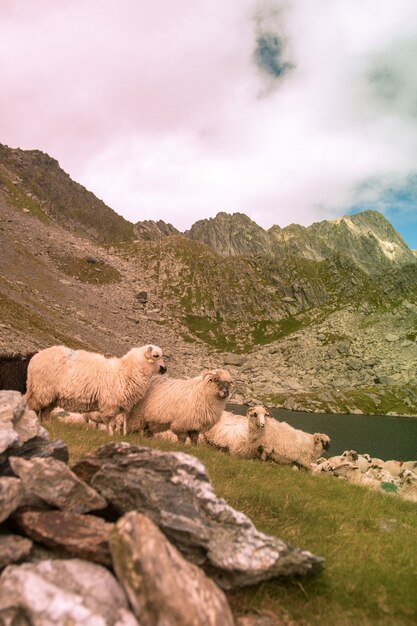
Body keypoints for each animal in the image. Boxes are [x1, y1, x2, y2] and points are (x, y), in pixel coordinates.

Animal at [24, 342, 166, 434]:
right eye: (156, 355)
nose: (165, 369)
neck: (126, 371)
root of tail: (36, 357)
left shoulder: (115, 406)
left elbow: (112, 423)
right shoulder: (110, 404)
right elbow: (111, 423)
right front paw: (110, 436)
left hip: (51, 396)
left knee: (46, 412)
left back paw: (48, 425)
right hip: (40, 390)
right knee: (32, 407)